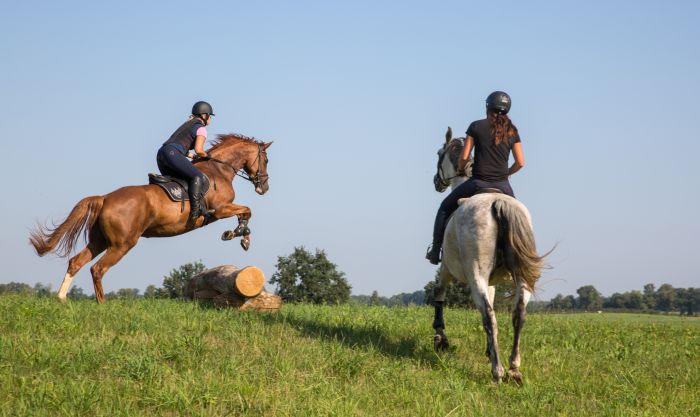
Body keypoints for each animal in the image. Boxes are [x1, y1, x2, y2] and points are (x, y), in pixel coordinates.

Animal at [30, 133, 270, 302]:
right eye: (266, 159)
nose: (264, 187)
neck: (219, 170)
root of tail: (105, 198)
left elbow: (246, 211)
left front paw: (238, 234)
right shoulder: (220, 210)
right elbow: (247, 210)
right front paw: (240, 235)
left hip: (100, 241)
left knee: (76, 262)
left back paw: (61, 299)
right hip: (122, 244)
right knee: (97, 269)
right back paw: (102, 304)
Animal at [430, 127, 548, 384]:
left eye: (439, 154)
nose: (436, 183)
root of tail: (497, 203)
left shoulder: (447, 268)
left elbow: (439, 294)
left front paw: (440, 338)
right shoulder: (492, 280)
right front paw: (489, 349)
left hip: (475, 275)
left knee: (489, 316)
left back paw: (498, 371)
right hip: (519, 277)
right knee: (518, 313)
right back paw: (513, 368)